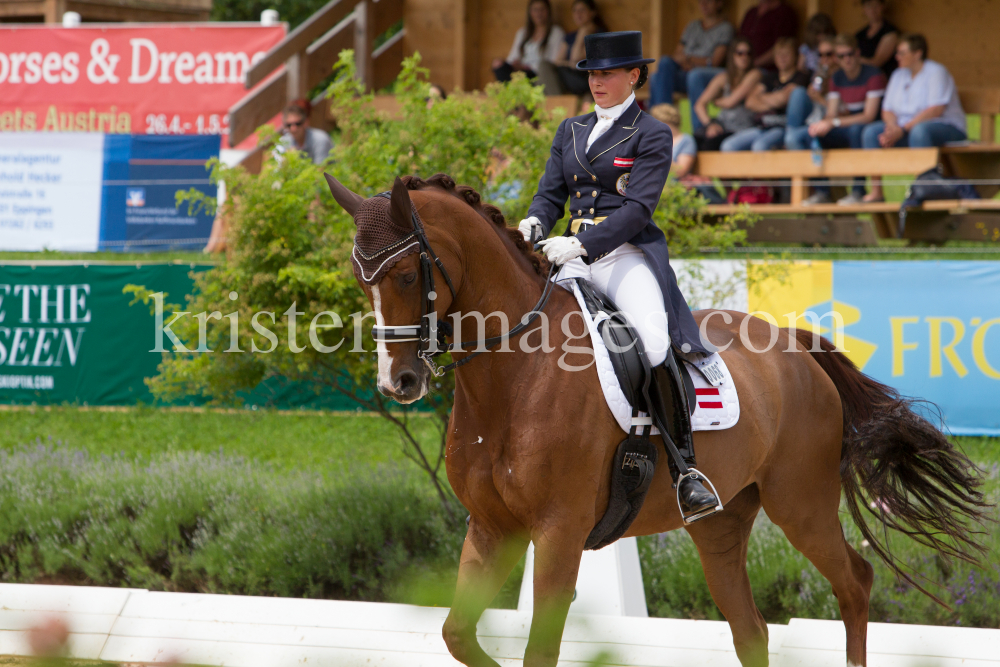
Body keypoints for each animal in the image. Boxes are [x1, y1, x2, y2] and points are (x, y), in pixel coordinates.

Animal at [326, 174, 984, 667]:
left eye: (406, 274)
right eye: (361, 278)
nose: (398, 382)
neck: (513, 374)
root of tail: (794, 344)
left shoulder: (558, 532)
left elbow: (539, 650)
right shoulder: (492, 528)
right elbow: (457, 634)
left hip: (801, 502)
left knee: (855, 582)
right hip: (721, 523)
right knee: (752, 630)